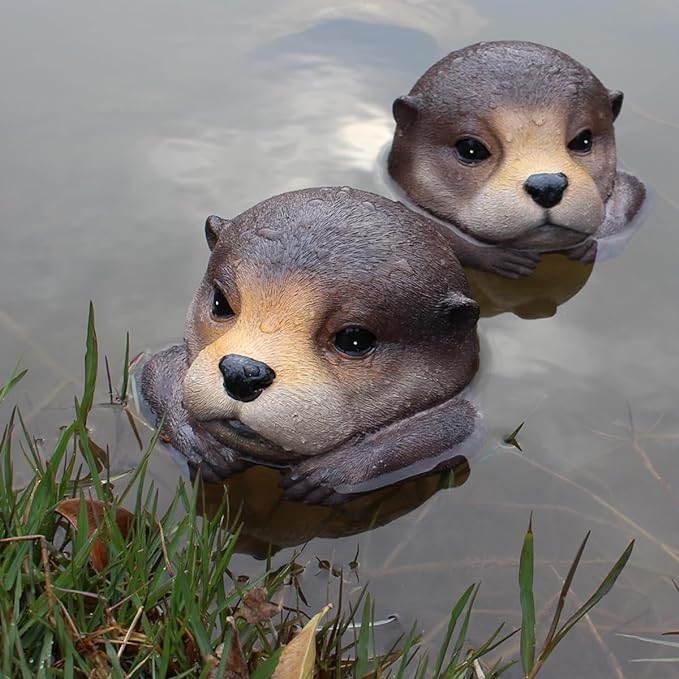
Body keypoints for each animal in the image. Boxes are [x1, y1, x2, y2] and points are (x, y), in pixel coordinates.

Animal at [141, 187, 481, 504]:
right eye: (220, 303)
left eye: (354, 339)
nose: (242, 372)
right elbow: (154, 368)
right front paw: (202, 442)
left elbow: (458, 424)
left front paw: (334, 471)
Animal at [387, 41, 646, 278]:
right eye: (470, 149)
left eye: (583, 140)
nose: (548, 186)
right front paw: (496, 256)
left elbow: (635, 194)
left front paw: (592, 243)